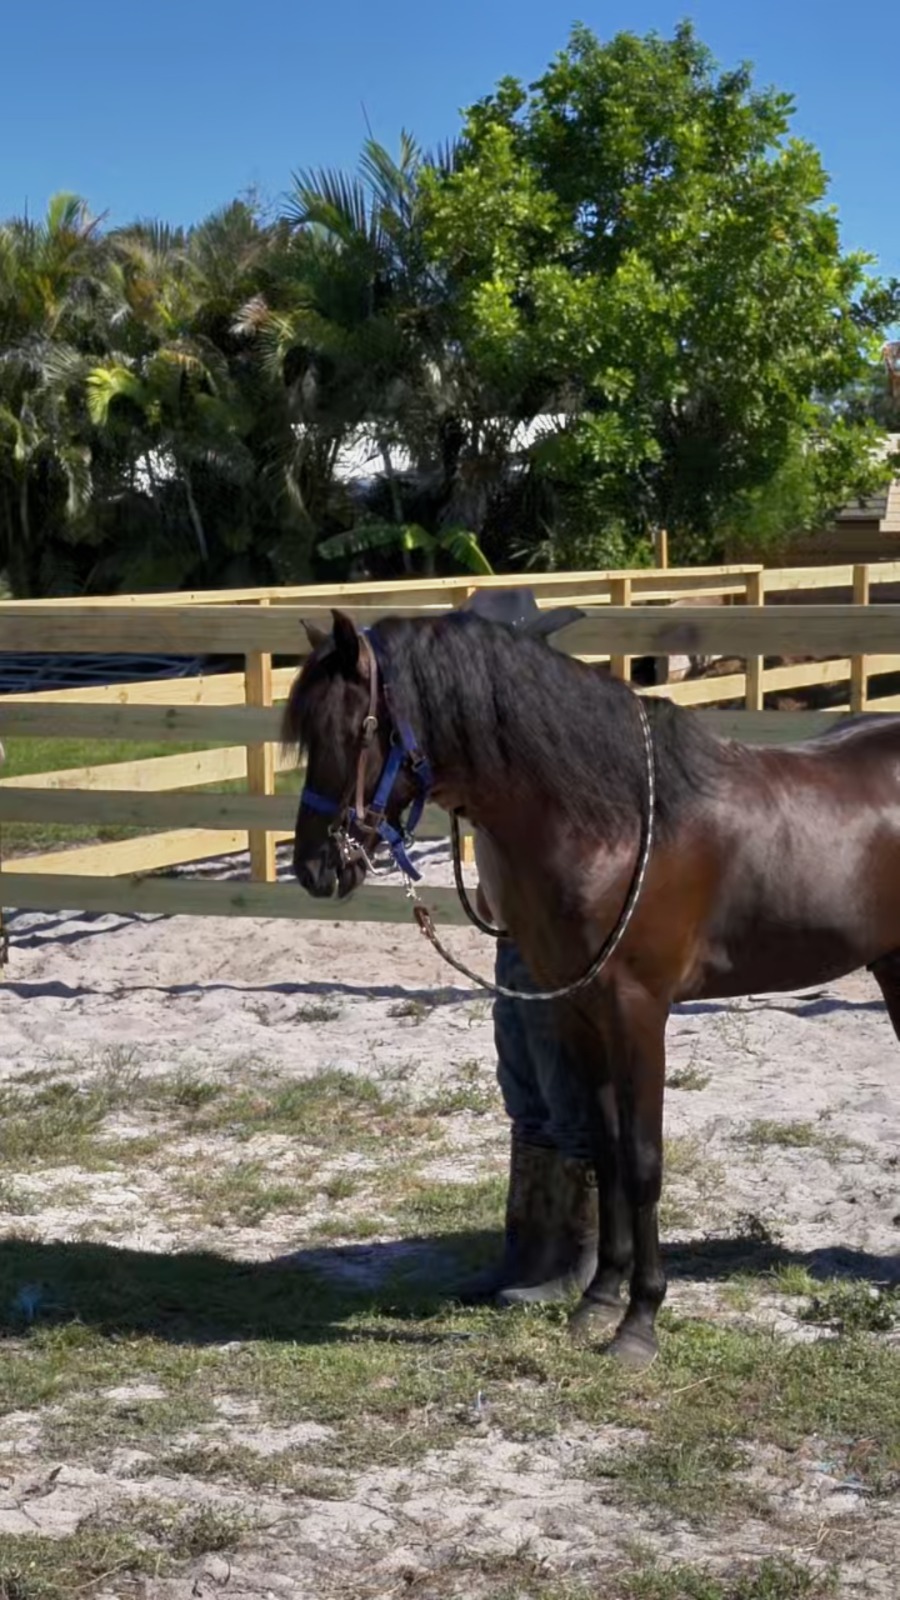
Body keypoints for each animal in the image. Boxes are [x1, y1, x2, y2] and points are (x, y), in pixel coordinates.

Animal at [284, 608, 900, 1371]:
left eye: (357, 729)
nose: (316, 867)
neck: (615, 822)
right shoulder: (579, 1012)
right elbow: (604, 1154)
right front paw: (599, 1301)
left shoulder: (640, 1012)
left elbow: (642, 1160)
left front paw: (640, 1322)